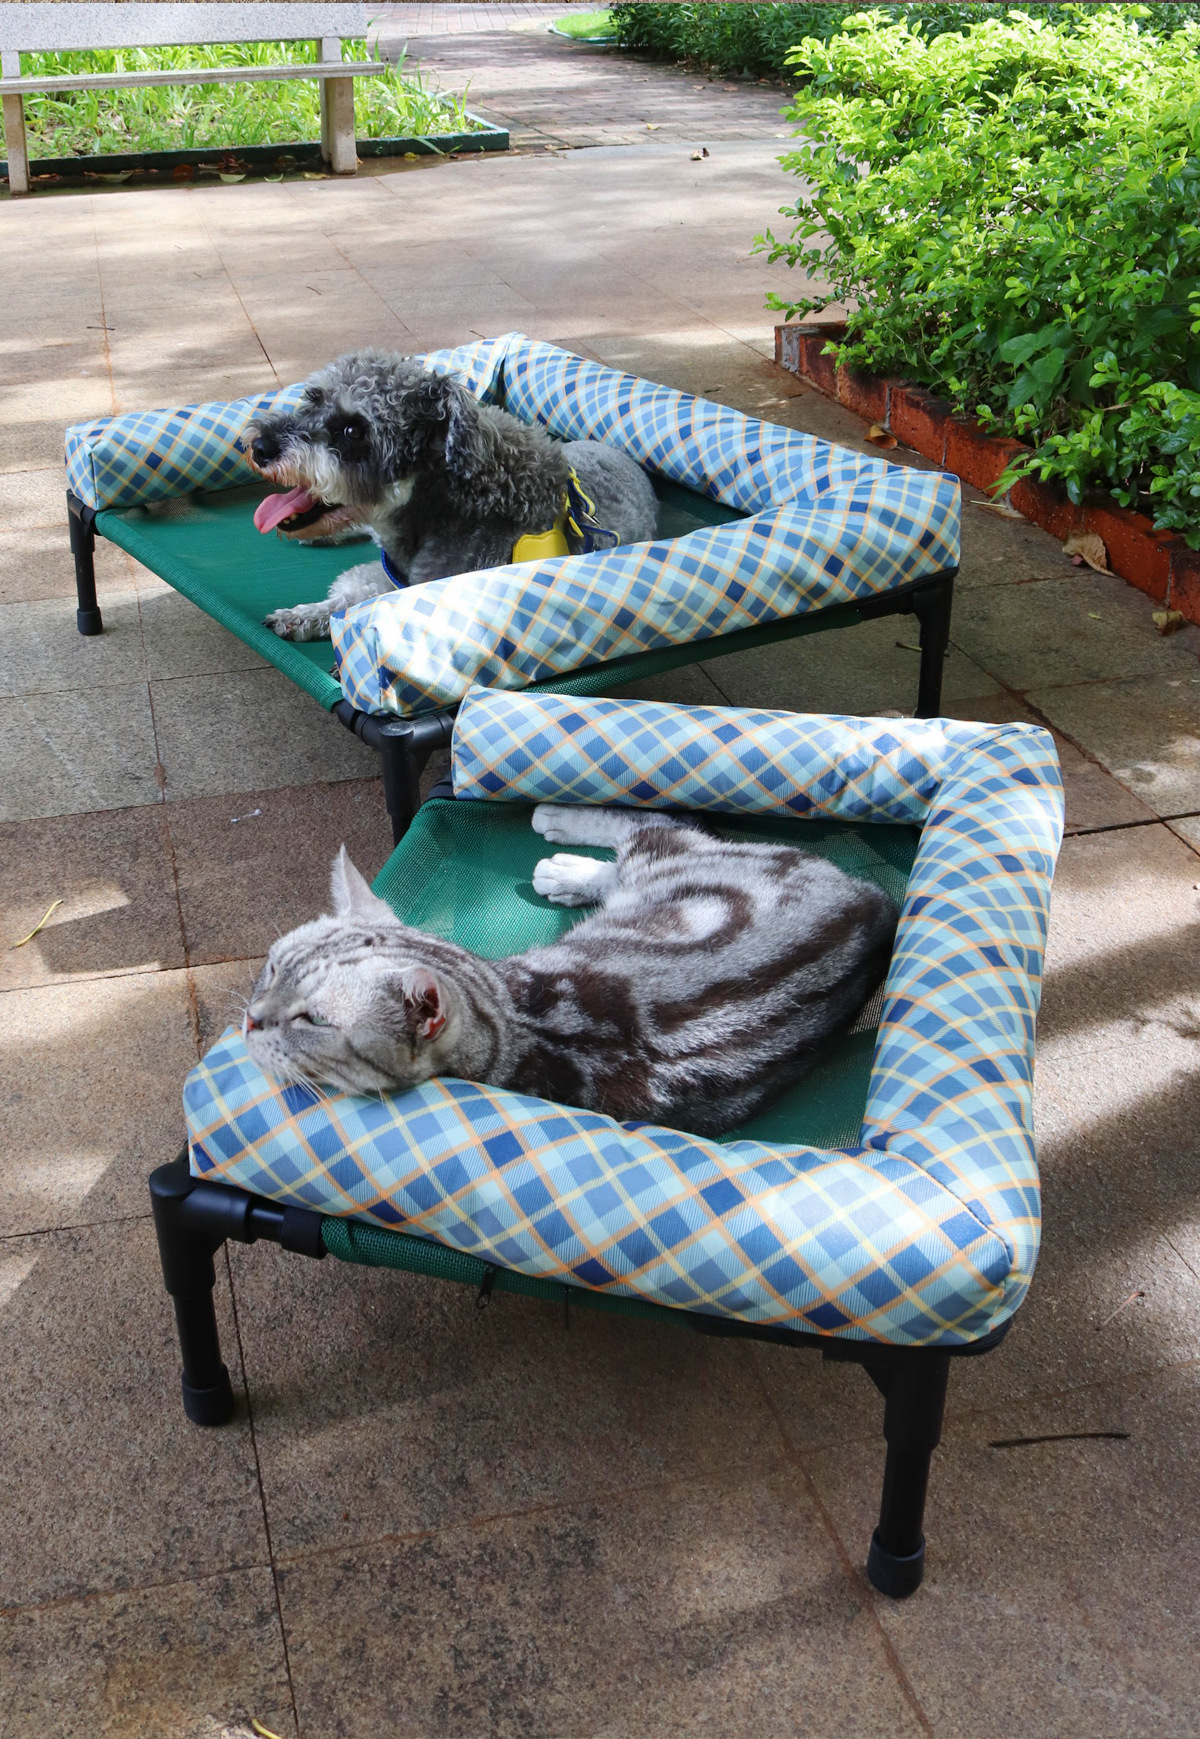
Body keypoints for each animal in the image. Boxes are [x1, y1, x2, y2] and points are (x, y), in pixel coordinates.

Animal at [242, 805, 898, 1139]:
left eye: (311, 1020)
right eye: (270, 967)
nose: (250, 1021)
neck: (516, 1018)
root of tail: (875, 901)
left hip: (665, 854)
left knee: (647, 820)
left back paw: (560, 828)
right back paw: (569, 872)